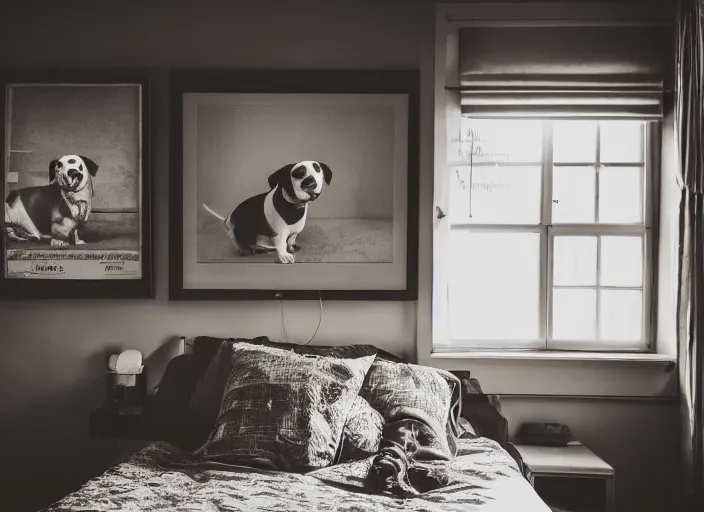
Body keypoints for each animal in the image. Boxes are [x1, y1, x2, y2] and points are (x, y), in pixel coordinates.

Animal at [202, 160, 334, 264]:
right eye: (295, 174)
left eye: (317, 168)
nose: (309, 181)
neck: (294, 206)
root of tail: (229, 219)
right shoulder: (280, 234)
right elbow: (281, 243)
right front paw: (284, 255)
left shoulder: (294, 232)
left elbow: (291, 240)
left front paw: (291, 247)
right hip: (237, 233)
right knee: (243, 242)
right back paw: (250, 250)